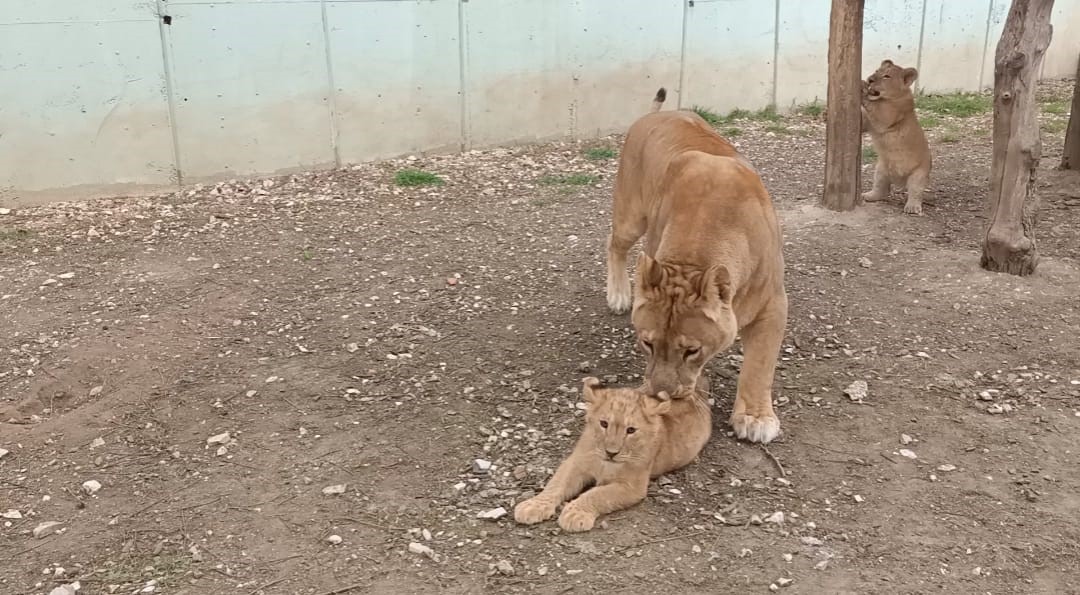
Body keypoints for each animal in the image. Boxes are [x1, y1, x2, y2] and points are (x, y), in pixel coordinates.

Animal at [609, 87, 786, 442]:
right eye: (647, 343)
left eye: (691, 351)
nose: (659, 395)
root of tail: (655, 114)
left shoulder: (773, 303)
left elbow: (760, 364)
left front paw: (756, 418)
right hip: (631, 216)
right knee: (614, 243)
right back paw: (618, 294)